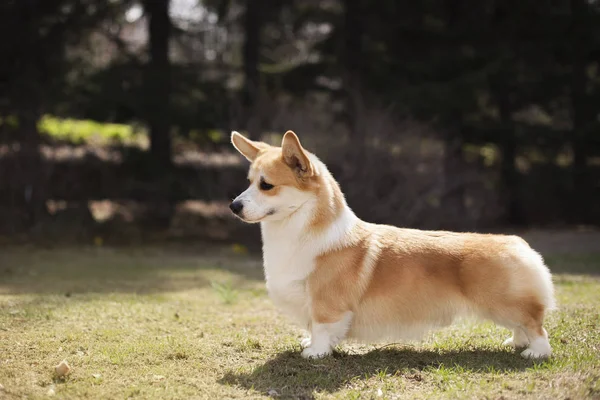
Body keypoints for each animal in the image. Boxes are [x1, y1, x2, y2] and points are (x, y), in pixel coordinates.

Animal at [229, 130, 552, 360]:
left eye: (266, 185)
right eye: (248, 182)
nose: (233, 206)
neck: (297, 231)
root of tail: (518, 244)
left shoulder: (326, 303)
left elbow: (321, 327)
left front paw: (314, 352)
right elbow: (313, 328)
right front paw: (310, 343)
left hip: (505, 304)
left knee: (536, 325)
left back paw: (534, 352)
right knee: (523, 325)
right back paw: (516, 343)